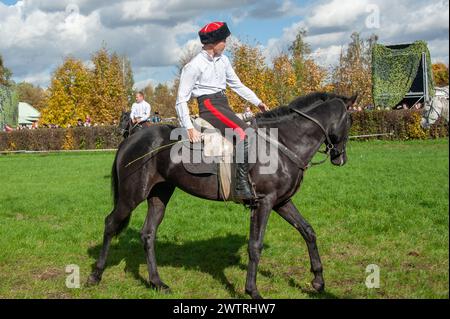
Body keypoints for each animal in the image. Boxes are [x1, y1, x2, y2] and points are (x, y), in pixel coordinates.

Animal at [87, 92, 356, 300]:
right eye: (351, 120)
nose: (340, 158)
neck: (283, 143)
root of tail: (132, 139)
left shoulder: (281, 202)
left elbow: (308, 231)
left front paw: (318, 281)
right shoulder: (264, 202)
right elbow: (255, 245)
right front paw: (252, 291)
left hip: (159, 195)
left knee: (148, 234)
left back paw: (157, 282)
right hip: (131, 196)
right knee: (111, 223)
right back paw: (95, 275)